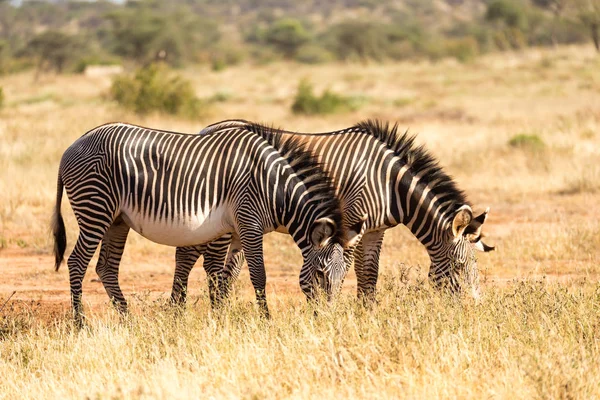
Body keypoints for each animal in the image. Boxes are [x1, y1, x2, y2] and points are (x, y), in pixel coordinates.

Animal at [51, 120, 358, 324]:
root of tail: (73, 144)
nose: (328, 320)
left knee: (106, 267)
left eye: (344, 276)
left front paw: (221, 317)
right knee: (77, 262)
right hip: (95, 209)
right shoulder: (249, 222)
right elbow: (257, 274)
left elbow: (223, 276)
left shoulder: (235, 231)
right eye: (319, 274)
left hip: (116, 220)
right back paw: (80, 323)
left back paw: (128, 320)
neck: (273, 187)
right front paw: (265, 320)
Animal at [171, 119, 494, 304]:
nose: (474, 309)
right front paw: (335, 309)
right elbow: (345, 267)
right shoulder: (352, 219)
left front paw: (367, 316)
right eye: (460, 267)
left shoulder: (375, 229)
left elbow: (368, 275)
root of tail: (207, 128)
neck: (389, 184)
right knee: (192, 256)